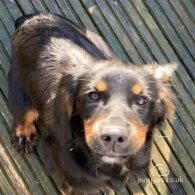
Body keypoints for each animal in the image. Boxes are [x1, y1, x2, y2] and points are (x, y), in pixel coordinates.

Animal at [8, 12, 176, 194]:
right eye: (93, 96)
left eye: (142, 100)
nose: (114, 138)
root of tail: (33, 18)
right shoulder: (58, 165)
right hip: (20, 90)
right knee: (23, 114)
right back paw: (23, 135)